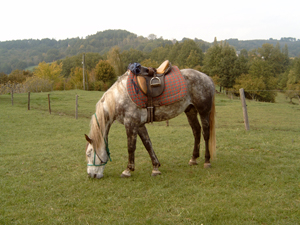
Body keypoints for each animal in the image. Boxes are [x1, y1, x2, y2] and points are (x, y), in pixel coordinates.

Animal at [84, 67, 216, 178]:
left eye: (89, 153)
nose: (91, 175)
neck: (119, 97)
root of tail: (207, 77)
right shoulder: (139, 125)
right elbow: (148, 144)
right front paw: (155, 167)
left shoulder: (130, 124)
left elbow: (131, 147)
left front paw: (127, 170)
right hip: (190, 110)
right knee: (196, 131)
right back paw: (193, 159)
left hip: (203, 111)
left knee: (205, 134)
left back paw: (207, 161)